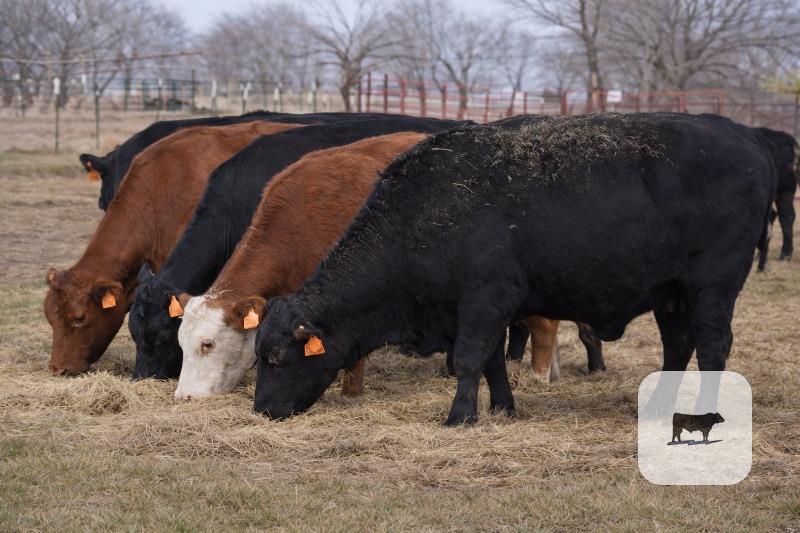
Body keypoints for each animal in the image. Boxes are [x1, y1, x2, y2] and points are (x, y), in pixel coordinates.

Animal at [252, 113, 774, 425]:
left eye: (276, 357)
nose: (262, 410)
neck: (420, 213)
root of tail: (744, 137)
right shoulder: (482, 309)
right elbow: (492, 361)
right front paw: (502, 406)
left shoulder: (484, 300)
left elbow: (470, 358)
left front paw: (460, 416)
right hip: (672, 297)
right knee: (678, 346)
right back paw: (660, 407)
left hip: (713, 289)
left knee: (712, 347)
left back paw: (705, 412)